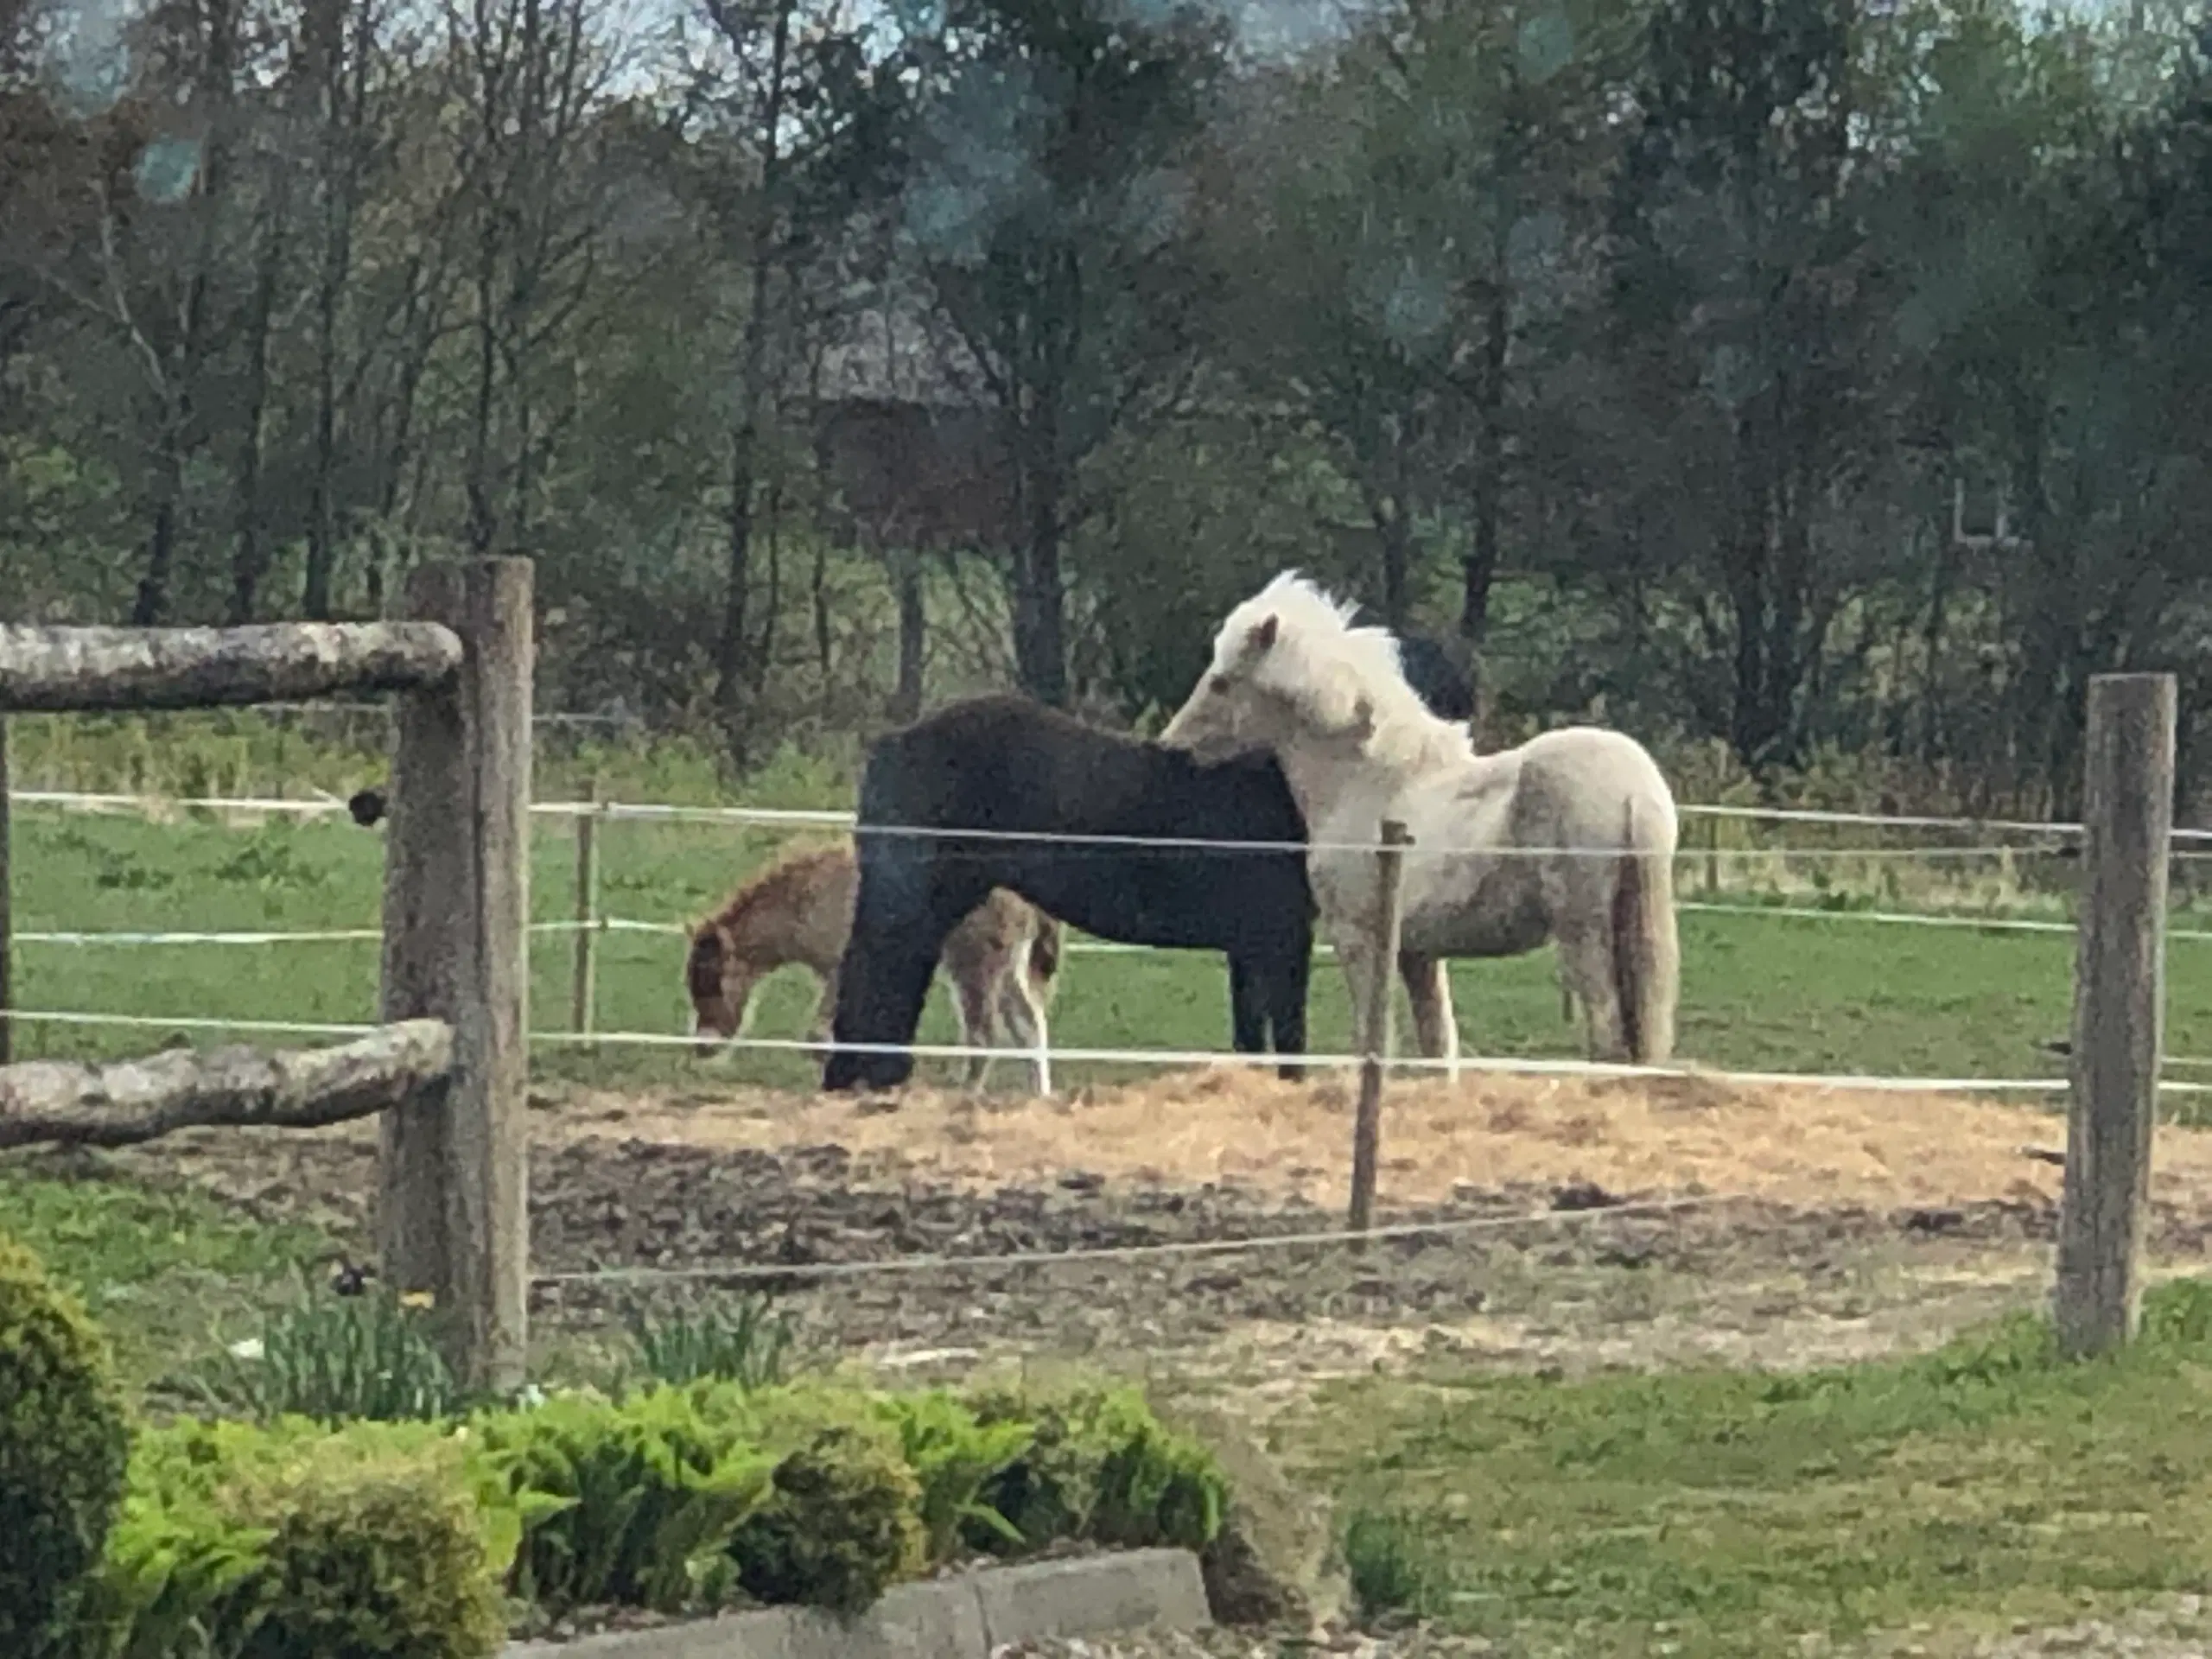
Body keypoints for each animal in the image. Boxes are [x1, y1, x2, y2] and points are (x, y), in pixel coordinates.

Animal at [690, 844, 1071, 1106]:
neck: (804, 900)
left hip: (975, 964)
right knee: (1029, 1025)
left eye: (714, 983)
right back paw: (1040, 1098)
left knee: (984, 1034)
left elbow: (818, 1037)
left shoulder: (838, 968)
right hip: (1007, 968)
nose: (702, 1047)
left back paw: (965, 1097)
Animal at [827, 698, 1309, 1096]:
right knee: (878, 971)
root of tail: (894, 743)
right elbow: (1290, 1035)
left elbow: (1252, 1034)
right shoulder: (1283, 938)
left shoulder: (1248, 946)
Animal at [1159, 575, 1672, 1065]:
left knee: (1608, 1044)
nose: (1172, 744)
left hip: (1584, 936)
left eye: (1222, 682)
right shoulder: (1419, 953)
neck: (1366, 782)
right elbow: (1438, 1045)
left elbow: (1375, 1039)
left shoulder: (1359, 940)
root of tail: (1636, 788)